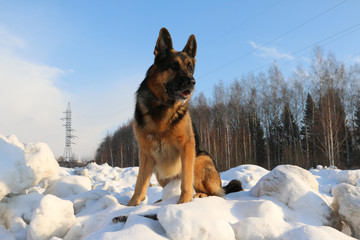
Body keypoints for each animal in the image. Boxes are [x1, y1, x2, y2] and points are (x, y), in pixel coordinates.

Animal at [126, 27, 242, 205]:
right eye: (174, 66)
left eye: (190, 68)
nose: (192, 82)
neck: (163, 105)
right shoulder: (145, 153)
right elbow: (140, 185)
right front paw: (131, 206)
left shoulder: (187, 147)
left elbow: (186, 182)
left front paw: (183, 203)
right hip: (160, 172)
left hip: (198, 161)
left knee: (215, 193)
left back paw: (200, 195)